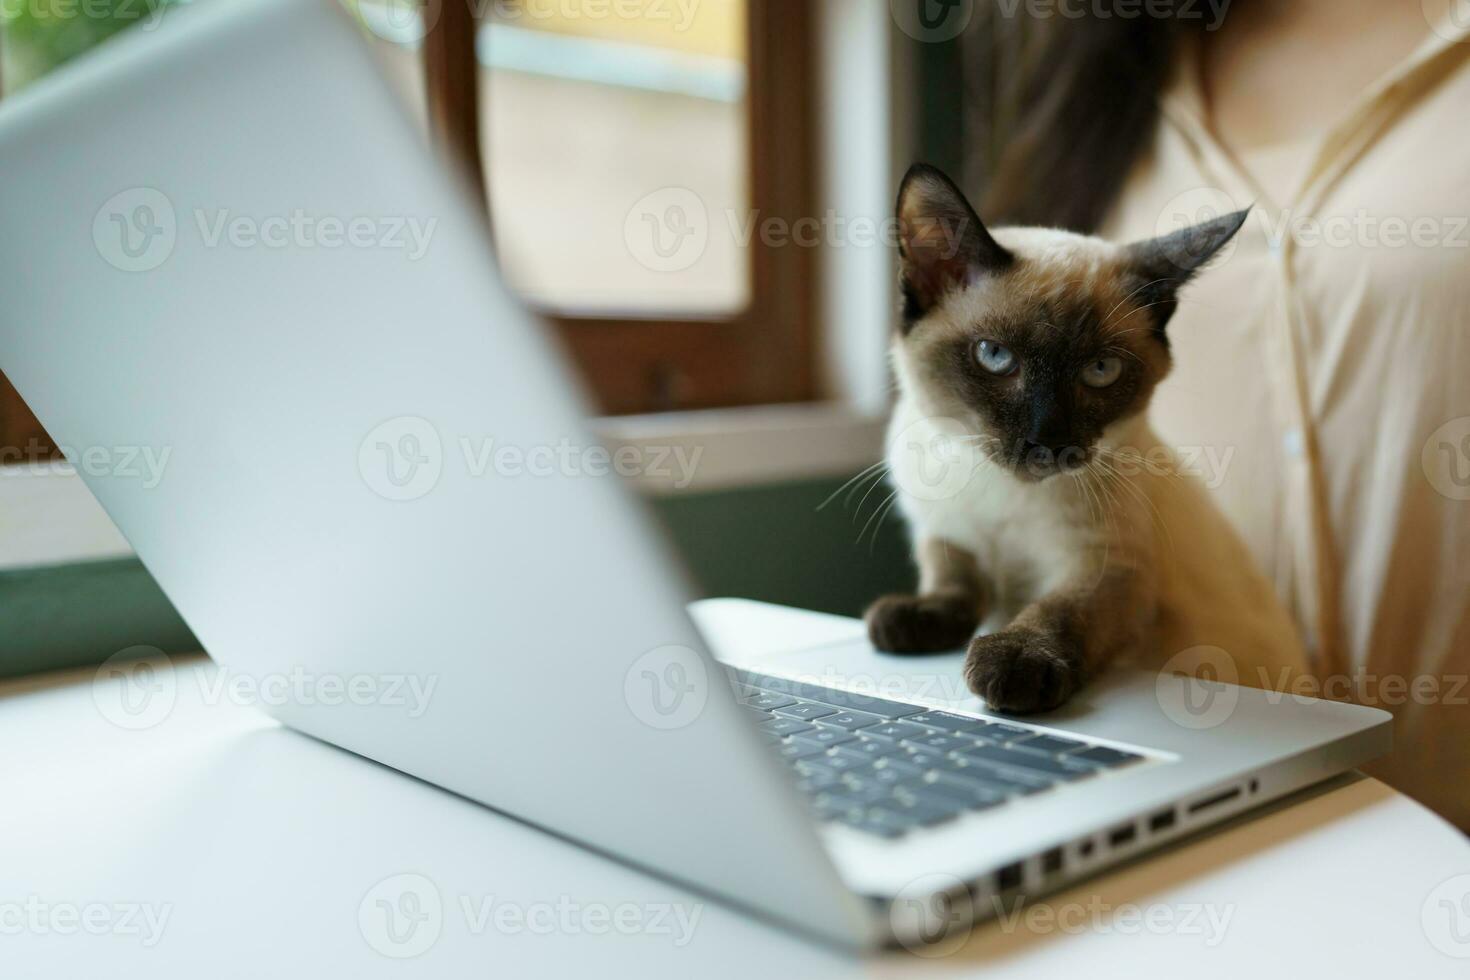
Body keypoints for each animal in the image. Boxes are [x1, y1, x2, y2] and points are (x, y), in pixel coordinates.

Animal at [864, 163, 1305, 714]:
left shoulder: (1110, 567)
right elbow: (954, 583)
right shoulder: (945, 531)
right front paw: (906, 621)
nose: (1048, 440)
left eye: (1100, 371)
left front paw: (1014, 665)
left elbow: (1060, 610)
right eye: (995, 356)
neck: (1001, 493)